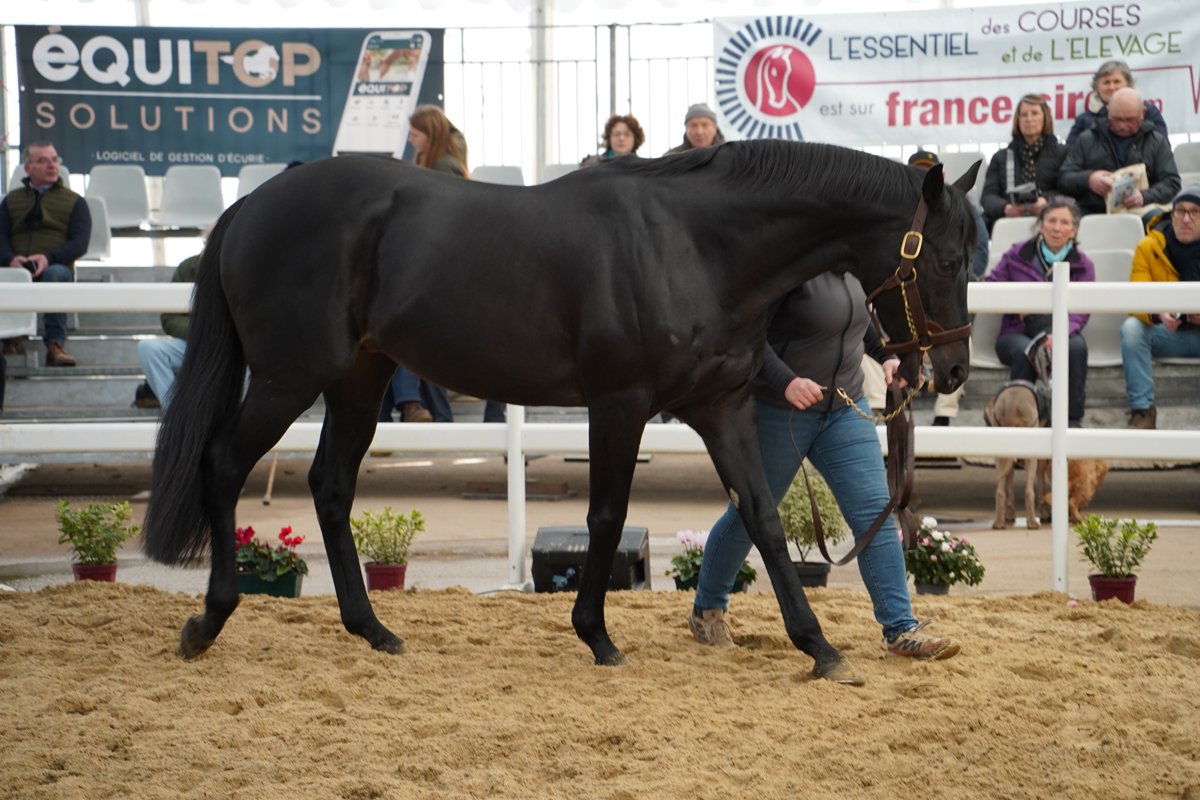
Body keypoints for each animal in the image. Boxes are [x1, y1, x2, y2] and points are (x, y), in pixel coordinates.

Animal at [143, 140, 980, 682]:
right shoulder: (619, 403)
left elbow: (762, 518)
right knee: (224, 464)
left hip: (359, 376)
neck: (694, 244)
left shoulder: (722, 405)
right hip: (289, 378)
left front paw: (820, 648)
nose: (952, 368)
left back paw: (374, 630)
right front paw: (597, 637)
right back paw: (208, 621)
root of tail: (251, 205)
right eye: (946, 259)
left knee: (330, 486)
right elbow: (607, 517)